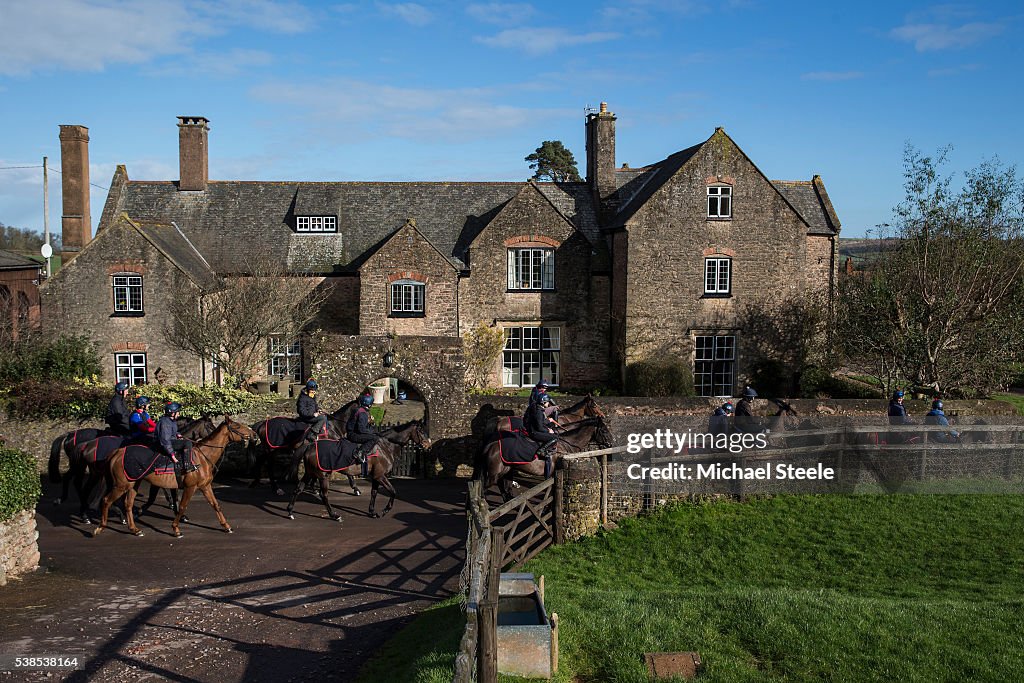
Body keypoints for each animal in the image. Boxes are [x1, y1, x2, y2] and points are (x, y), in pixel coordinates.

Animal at [93, 417, 260, 540]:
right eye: (237, 426)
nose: (254, 435)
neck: (201, 457)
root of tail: (117, 452)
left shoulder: (205, 486)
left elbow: (215, 505)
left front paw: (226, 526)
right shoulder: (190, 487)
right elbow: (182, 506)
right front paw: (176, 528)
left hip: (133, 484)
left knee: (128, 504)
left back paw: (134, 529)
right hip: (121, 485)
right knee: (106, 500)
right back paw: (100, 527)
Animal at [286, 417, 430, 524]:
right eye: (421, 431)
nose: (428, 444)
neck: (385, 445)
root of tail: (309, 445)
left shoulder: (376, 477)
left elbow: (374, 493)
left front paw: (372, 512)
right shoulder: (380, 476)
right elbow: (393, 492)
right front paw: (385, 510)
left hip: (309, 473)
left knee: (298, 489)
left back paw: (290, 512)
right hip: (323, 476)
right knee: (324, 495)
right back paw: (334, 515)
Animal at [475, 413, 610, 499]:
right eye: (604, 431)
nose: (610, 443)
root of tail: (491, 446)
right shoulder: (551, 475)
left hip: (506, 470)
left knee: (503, 488)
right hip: (494, 474)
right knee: (484, 488)